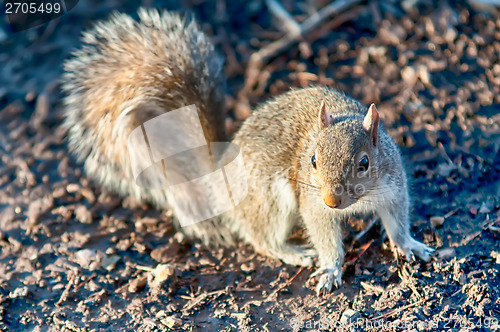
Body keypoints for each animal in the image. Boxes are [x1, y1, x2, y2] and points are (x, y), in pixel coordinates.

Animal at [61, 7, 434, 294]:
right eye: (312, 161)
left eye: (364, 163)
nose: (331, 200)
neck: (361, 198)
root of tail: (219, 176)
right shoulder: (311, 204)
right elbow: (325, 237)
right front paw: (330, 269)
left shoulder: (393, 187)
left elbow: (397, 222)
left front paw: (409, 245)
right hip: (268, 200)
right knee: (261, 238)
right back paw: (293, 252)